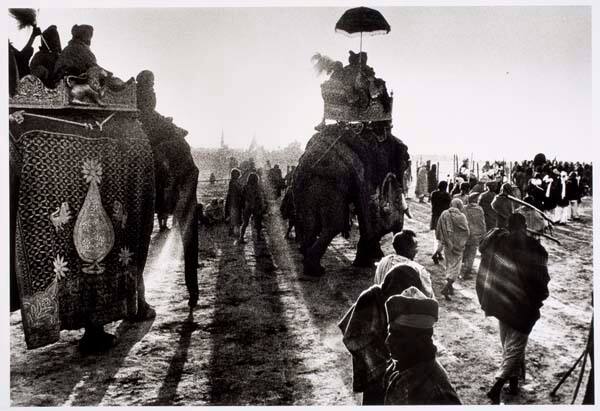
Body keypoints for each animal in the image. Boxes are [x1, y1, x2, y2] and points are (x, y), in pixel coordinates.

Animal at [292, 120, 410, 278]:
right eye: (405, 160)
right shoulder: (366, 170)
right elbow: (367, 210)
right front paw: (366, 261)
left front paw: (365, 260)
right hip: (328, 186)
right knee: (335, 224)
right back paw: (315, 270)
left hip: (306, 190)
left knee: (310, 223)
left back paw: (309, 265)